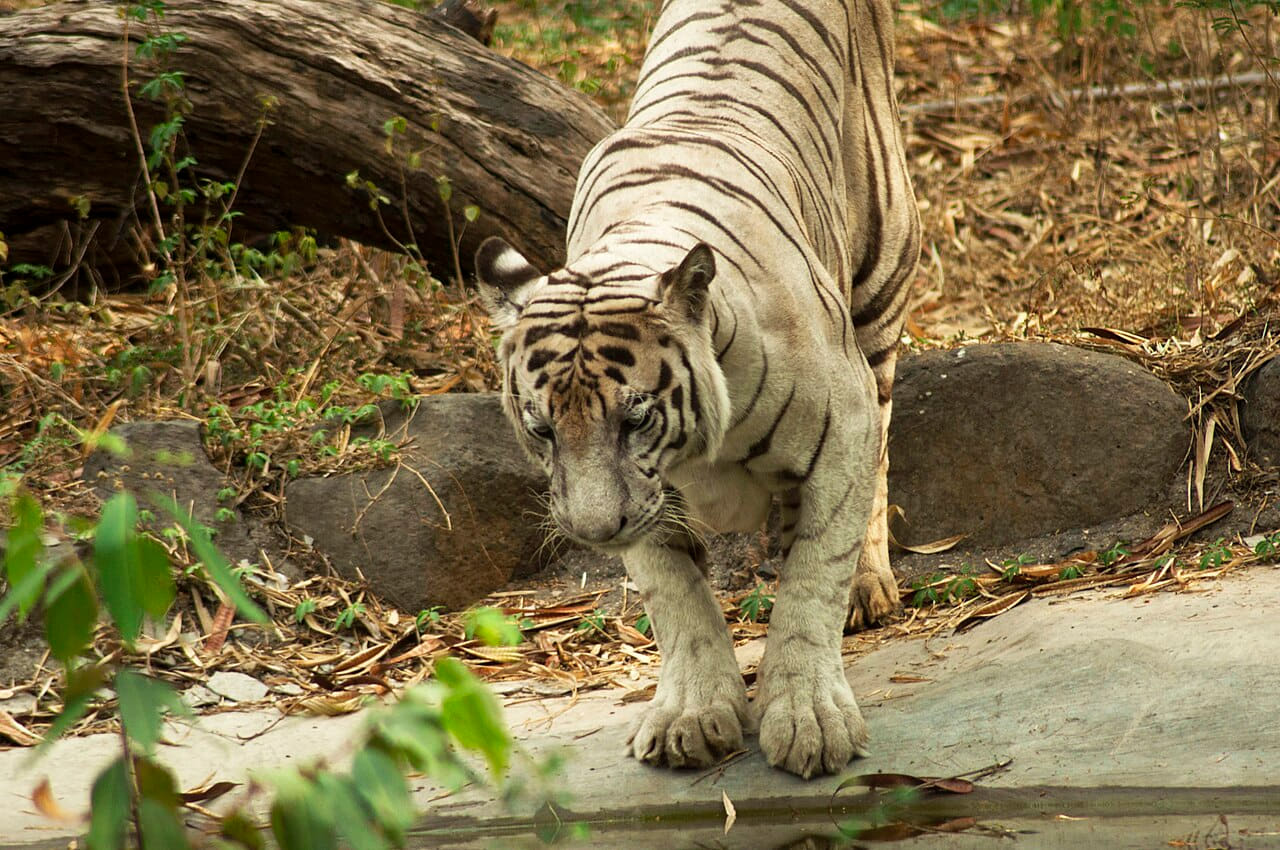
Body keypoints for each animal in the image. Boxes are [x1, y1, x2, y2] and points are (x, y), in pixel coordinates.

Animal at [474, 0, 920, 778]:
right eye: (542, 429)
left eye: (636, 419)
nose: (592, 531)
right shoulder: (643, 504)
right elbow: (676, 596)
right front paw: (692, 717)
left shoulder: (846, 424)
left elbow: (815, 577)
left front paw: (809, 721)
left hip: (880, 278)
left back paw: (869, 584)